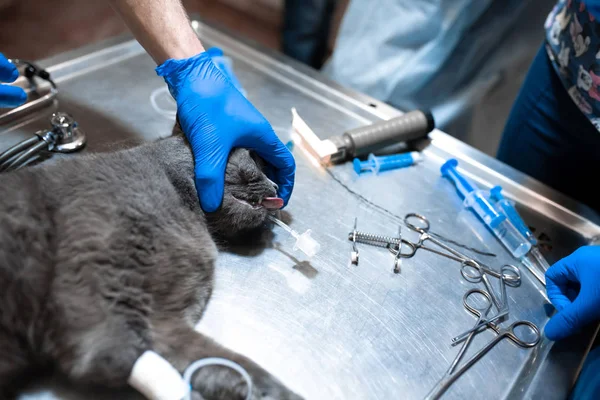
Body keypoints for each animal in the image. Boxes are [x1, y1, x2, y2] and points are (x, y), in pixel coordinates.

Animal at [0, 129, 302, 400]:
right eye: (256, 162)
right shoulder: (102, 273)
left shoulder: (165, 319)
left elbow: (211, 360)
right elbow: (106, 350)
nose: (277, 187)